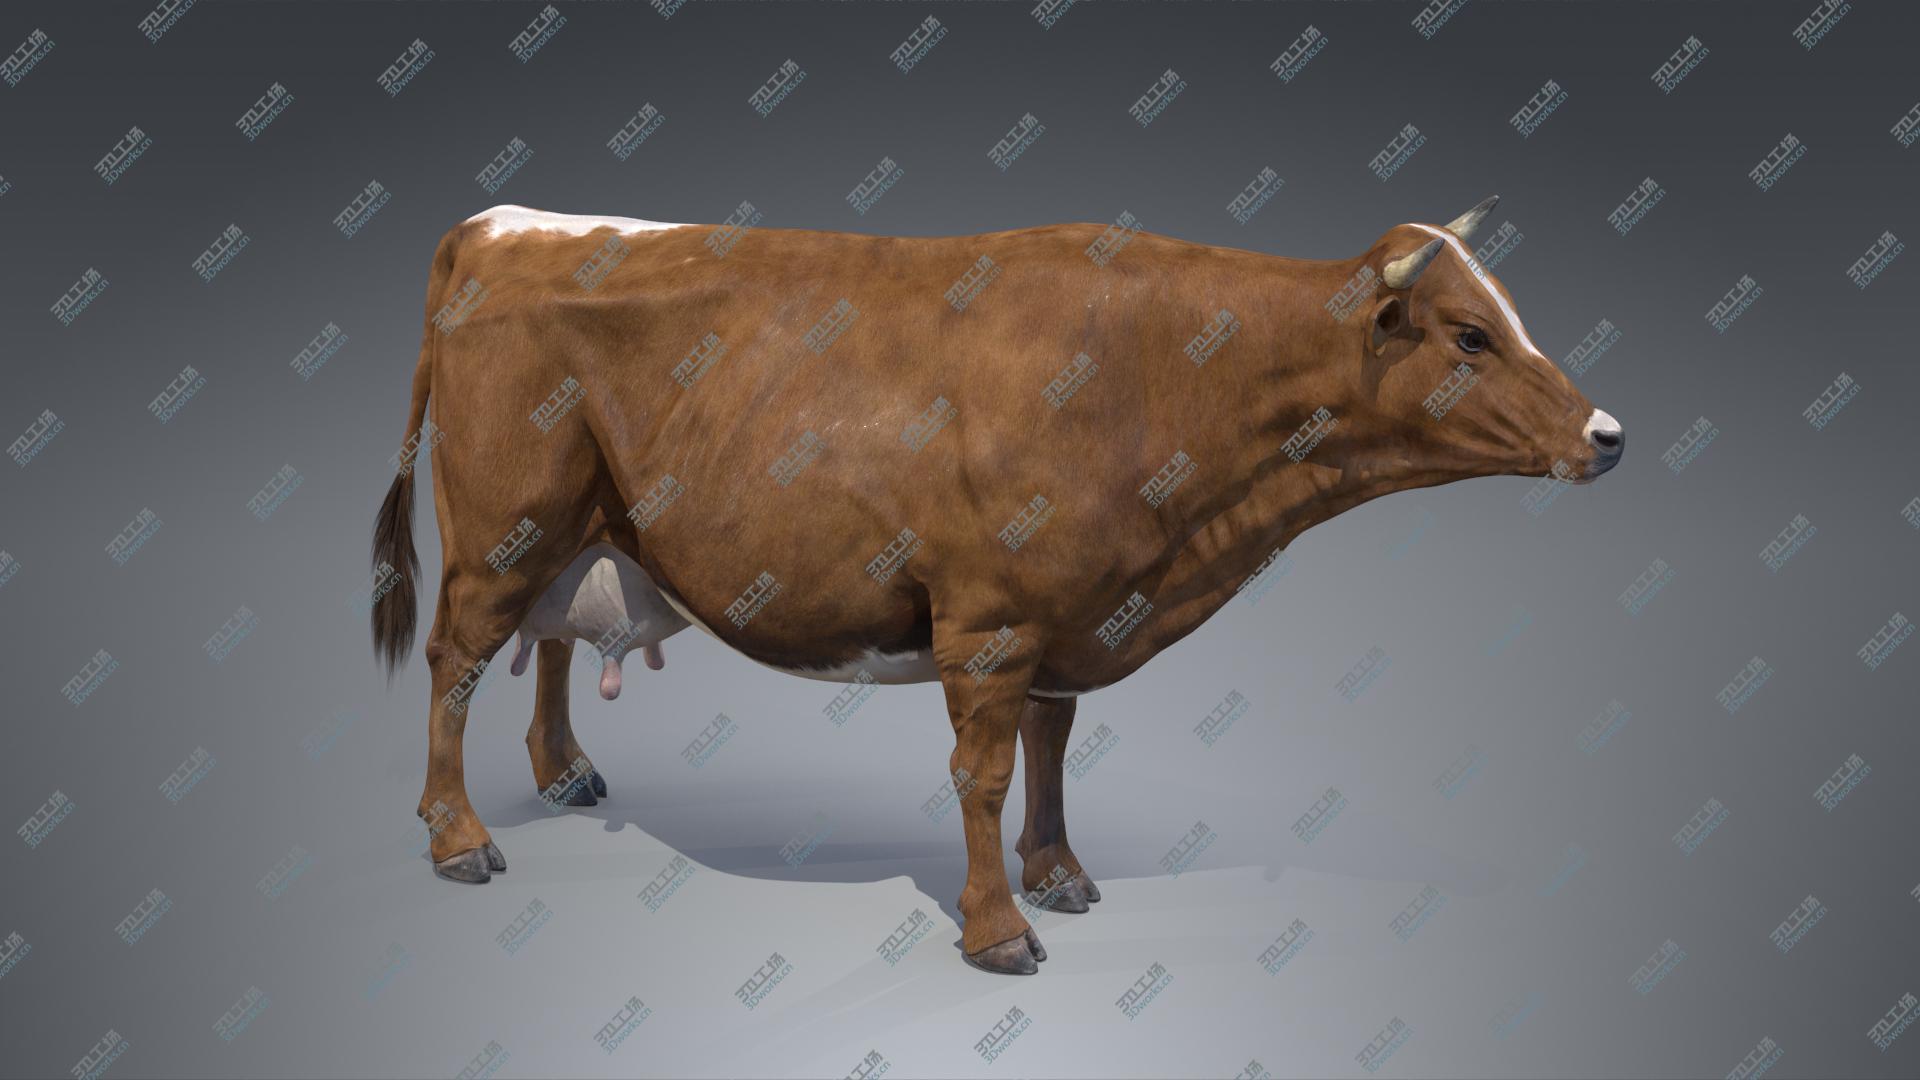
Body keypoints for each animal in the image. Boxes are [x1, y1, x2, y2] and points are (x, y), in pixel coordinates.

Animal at [370, 196, 1623, 975]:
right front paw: (997, 930)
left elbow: (1051, 746)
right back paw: (457, 836)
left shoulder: (1071, 615)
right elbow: (980, 773)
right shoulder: (989, 620)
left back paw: (567, 772)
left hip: (583, 527)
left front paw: (1060, 872)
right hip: (504, 527)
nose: (1606, 435)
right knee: (454, 662)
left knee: (553, 638)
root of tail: (499, 223)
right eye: (1469, 335)